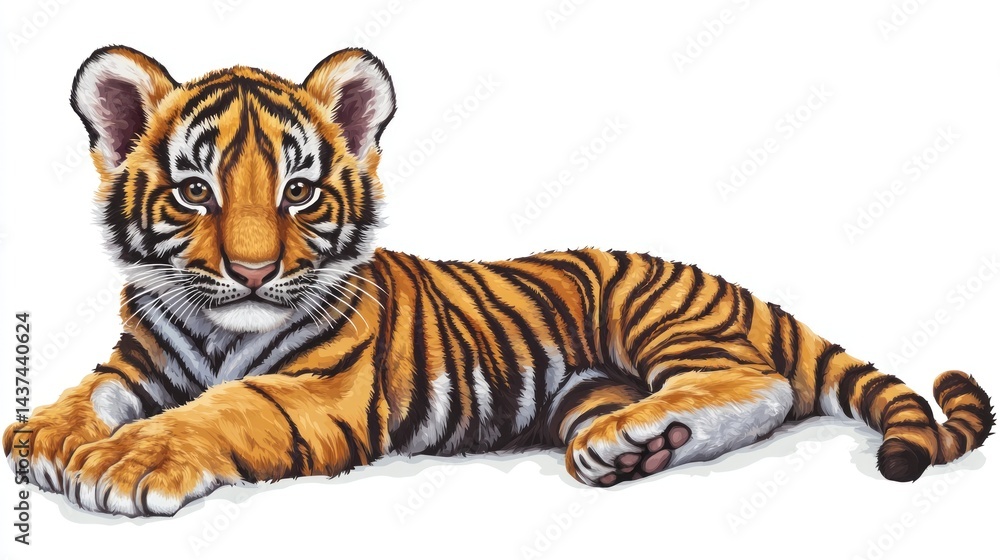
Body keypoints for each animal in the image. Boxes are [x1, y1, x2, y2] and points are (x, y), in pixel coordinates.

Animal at [3, 45, 993, 517]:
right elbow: (88, 394)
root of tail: (744, 291)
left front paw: (126, 462)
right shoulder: (137, 365)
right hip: (584, 388)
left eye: (299, 191)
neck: (218, 332)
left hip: (649, 311)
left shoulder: (319, 389)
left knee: (767, 383)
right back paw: (634, 447)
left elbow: (221, 409)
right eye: (195, 191)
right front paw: (41, 438)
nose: (252, 271)